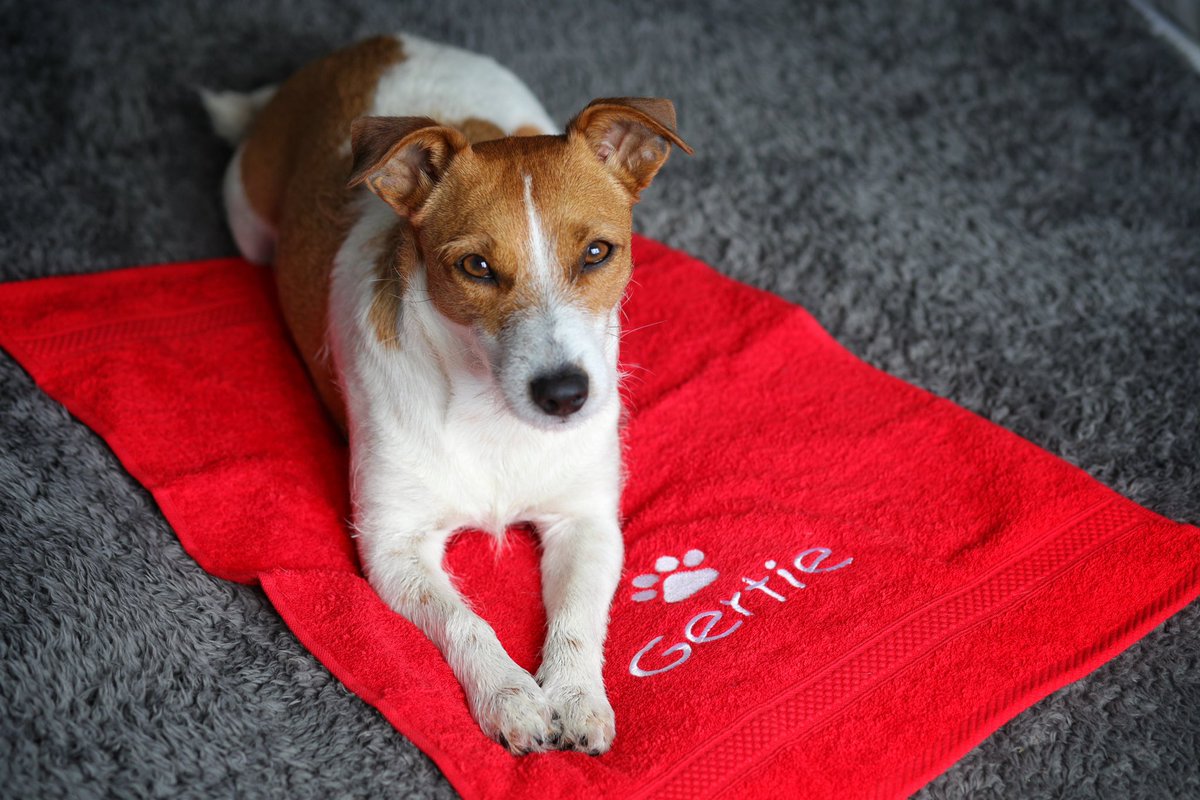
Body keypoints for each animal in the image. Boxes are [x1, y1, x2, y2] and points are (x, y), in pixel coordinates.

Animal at [204, 32, 696, 758]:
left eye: (598, 253)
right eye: (476, 267)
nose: (565, 395)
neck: (491, 415)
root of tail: (374, 44)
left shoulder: (584, 521)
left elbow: (578, 617)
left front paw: (576, 695)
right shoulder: (394, 545)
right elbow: (467, 623)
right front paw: (511, 696)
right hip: (245, 217)